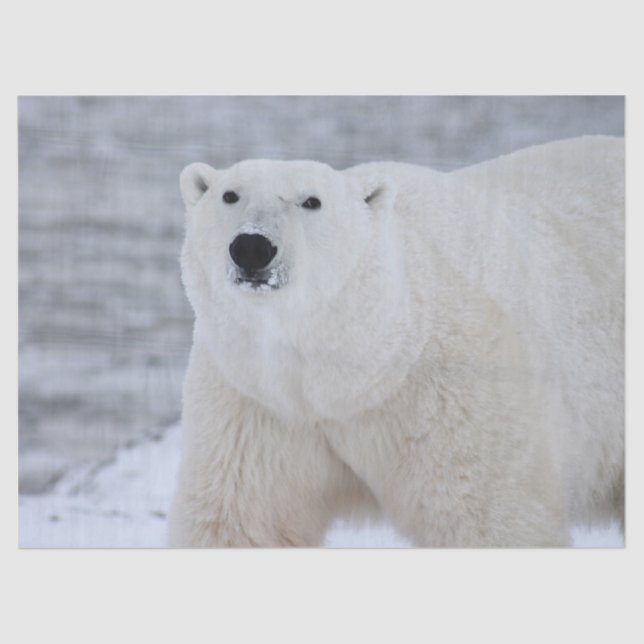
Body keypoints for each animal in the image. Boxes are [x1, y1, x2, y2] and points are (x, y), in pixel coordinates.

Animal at [168, 136, 624, 547]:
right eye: (230, 195)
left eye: (311, 201)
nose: (252, 246)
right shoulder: (258, 401)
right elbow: (241, 520)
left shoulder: (454, 397)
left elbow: (488, 515)